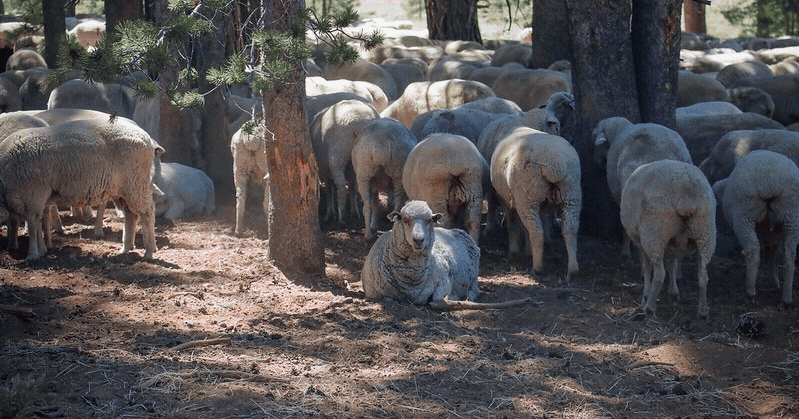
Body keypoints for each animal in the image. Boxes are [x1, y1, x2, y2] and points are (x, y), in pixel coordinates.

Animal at [0, 119, 158, 260]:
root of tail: (146, 138)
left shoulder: (34, 195)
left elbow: (33, 224)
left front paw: (33, 254)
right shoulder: (38, 198)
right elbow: (37, 222)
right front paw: (42, 250)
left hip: (137, 184)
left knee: (148, 213)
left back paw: (149, 251)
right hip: (123, 191)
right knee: (131, 215)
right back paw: (125, 248)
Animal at [490, 127, 582, 279]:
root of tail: (554, 164)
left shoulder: (510, 201)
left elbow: (512, 223)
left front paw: (515, 251)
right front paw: (528, 250)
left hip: (528, 198)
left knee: (537, 232)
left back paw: (537, 268)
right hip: (571, 194)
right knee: (571, 229)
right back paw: (573, 270)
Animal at [620, 160, 717, 318]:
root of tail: (686, 193)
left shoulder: (642, 242)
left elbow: (647, 268)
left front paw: (645, 295)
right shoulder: (672, 244)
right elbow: (672, 264)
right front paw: (673, 293)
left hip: (655, 232)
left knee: (659, 273)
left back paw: (649, 307)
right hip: (704, 232)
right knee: (703, 274)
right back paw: (703, 310)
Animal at [712, 150, 799, 308]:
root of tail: (771, 183)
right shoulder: (775, 232)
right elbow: (774, 253)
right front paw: (775, 281)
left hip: (745, 214)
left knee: (752, 250)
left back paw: (750, 291)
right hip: (791, 216)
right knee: (789, 256)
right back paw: (786, 298)